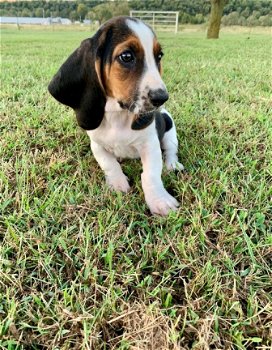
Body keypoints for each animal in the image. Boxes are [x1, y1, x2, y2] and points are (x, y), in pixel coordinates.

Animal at [49, 17, 185, 216]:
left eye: (159, 56)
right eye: (126, 56)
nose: (162, 97)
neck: (118, 117)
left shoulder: (150, 145)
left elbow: (150, 174)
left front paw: (160, 202)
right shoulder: (96, 144)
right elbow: (109, 164)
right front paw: (118, 184)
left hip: (169, 131)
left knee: (170, 151)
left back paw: (172, 165)